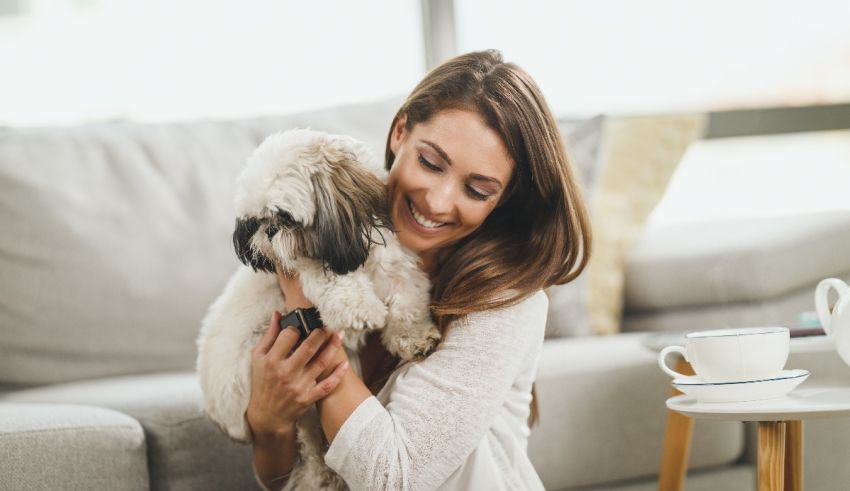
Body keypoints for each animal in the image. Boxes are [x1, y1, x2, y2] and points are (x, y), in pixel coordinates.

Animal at [196, 129, 440, 490]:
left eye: (283, 216)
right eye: (257, 220)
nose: (268, 231)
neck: (356, 251)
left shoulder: (397, 266)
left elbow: (407, 302)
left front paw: (415, 337)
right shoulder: (306, 267)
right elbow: (331, 279)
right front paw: (361, 309)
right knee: (311, 450)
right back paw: (322, 477)